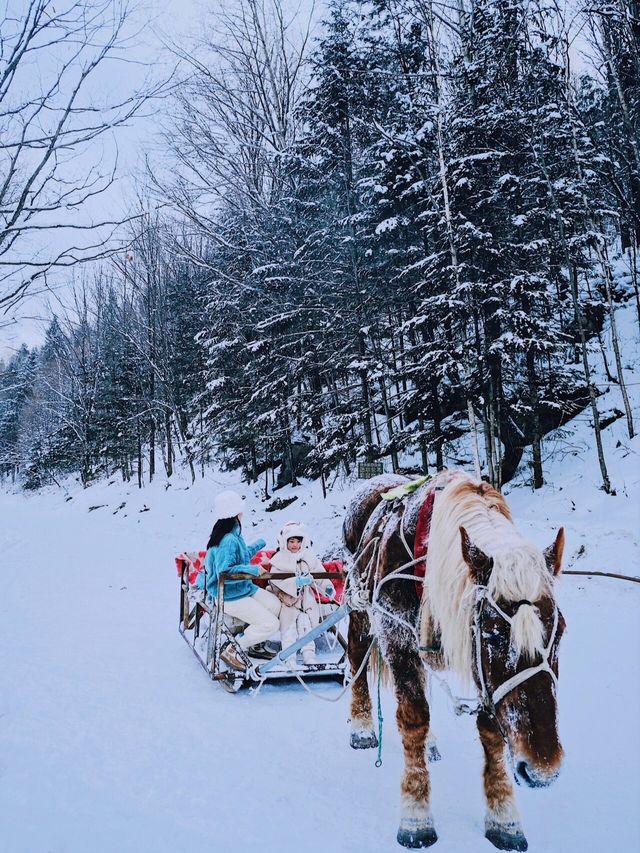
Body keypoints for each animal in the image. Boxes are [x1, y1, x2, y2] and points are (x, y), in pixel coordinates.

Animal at [344, 470, 564, 848]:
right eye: (493, 633)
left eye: (561, 632)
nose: (542, 769)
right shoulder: (395, 634)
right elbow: (413, 718)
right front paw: (416, 817)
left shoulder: (482, 674)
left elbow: (490, 731)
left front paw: (504, 819)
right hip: (361, 612)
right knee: (357, 657)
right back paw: (362, 726)